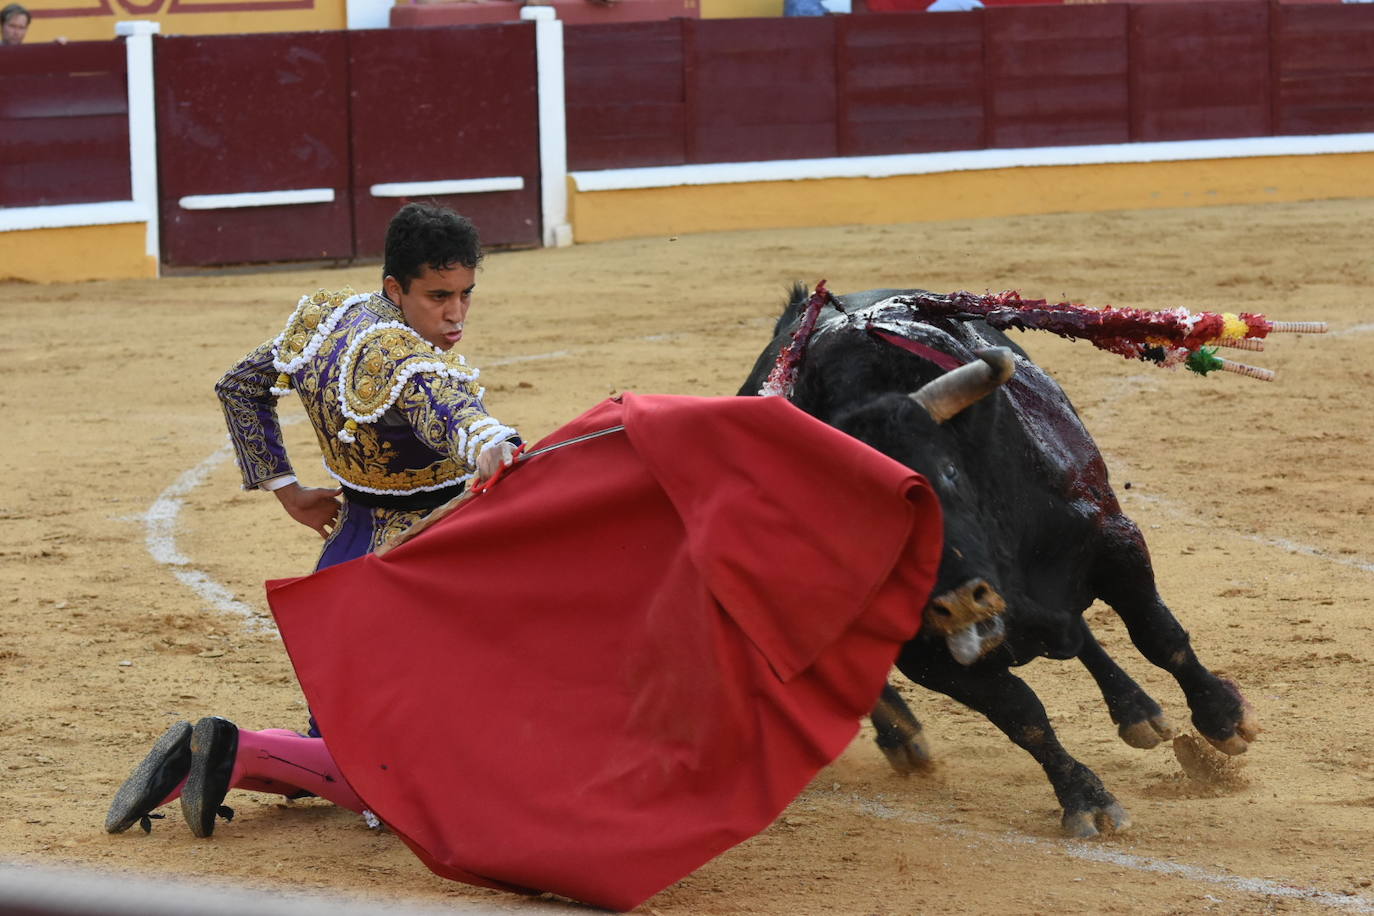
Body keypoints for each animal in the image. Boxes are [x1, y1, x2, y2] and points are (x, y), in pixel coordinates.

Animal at [741, 287, 1258, 840]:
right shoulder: (926, 655)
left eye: (947, 473)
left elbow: (1159, 636)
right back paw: (904, 738)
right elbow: (1021, 715)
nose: (961, 603)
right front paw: (1086, 799)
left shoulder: (1114, 542)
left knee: (1087, 633)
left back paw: (1138, 709)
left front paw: (1224, 718)